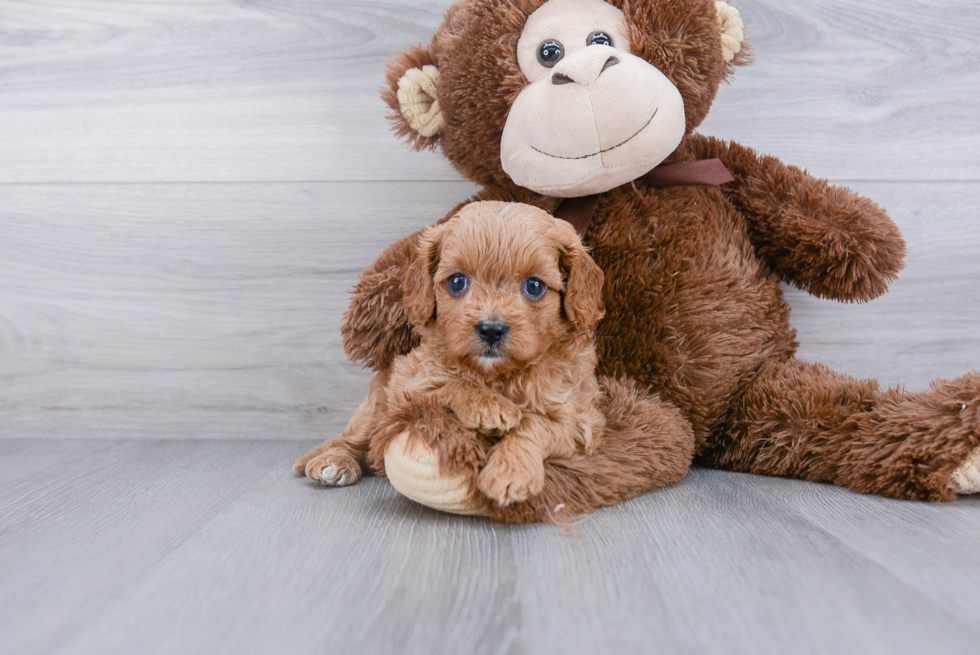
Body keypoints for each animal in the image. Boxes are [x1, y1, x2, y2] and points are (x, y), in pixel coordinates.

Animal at [296, 202, 604, 510]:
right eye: (457, 282)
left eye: (534, 286)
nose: (491, 330)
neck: (496, 375)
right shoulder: (410, 386)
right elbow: (451, 385)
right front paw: (488, 406)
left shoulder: (575, 422)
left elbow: (534, 425)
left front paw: (510, 473)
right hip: (376, 404)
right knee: (355, 438)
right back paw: (333, 461)